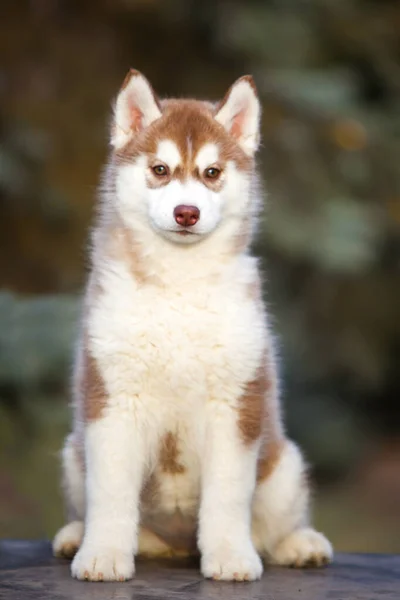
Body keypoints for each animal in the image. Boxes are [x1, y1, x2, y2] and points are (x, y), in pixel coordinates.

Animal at [54, 70, 334, 580]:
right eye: (161, 169)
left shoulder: (234, 408)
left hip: (284, 466)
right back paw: (75, 536)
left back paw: (299, 544)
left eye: (212, 173)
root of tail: (176, 546)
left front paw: (230, 557)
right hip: (73, 452)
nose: (187, 212)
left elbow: (227, 497)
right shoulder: (112, 402)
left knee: (274, 526)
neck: (178, 282)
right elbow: (110, 494)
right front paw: (102, 553)